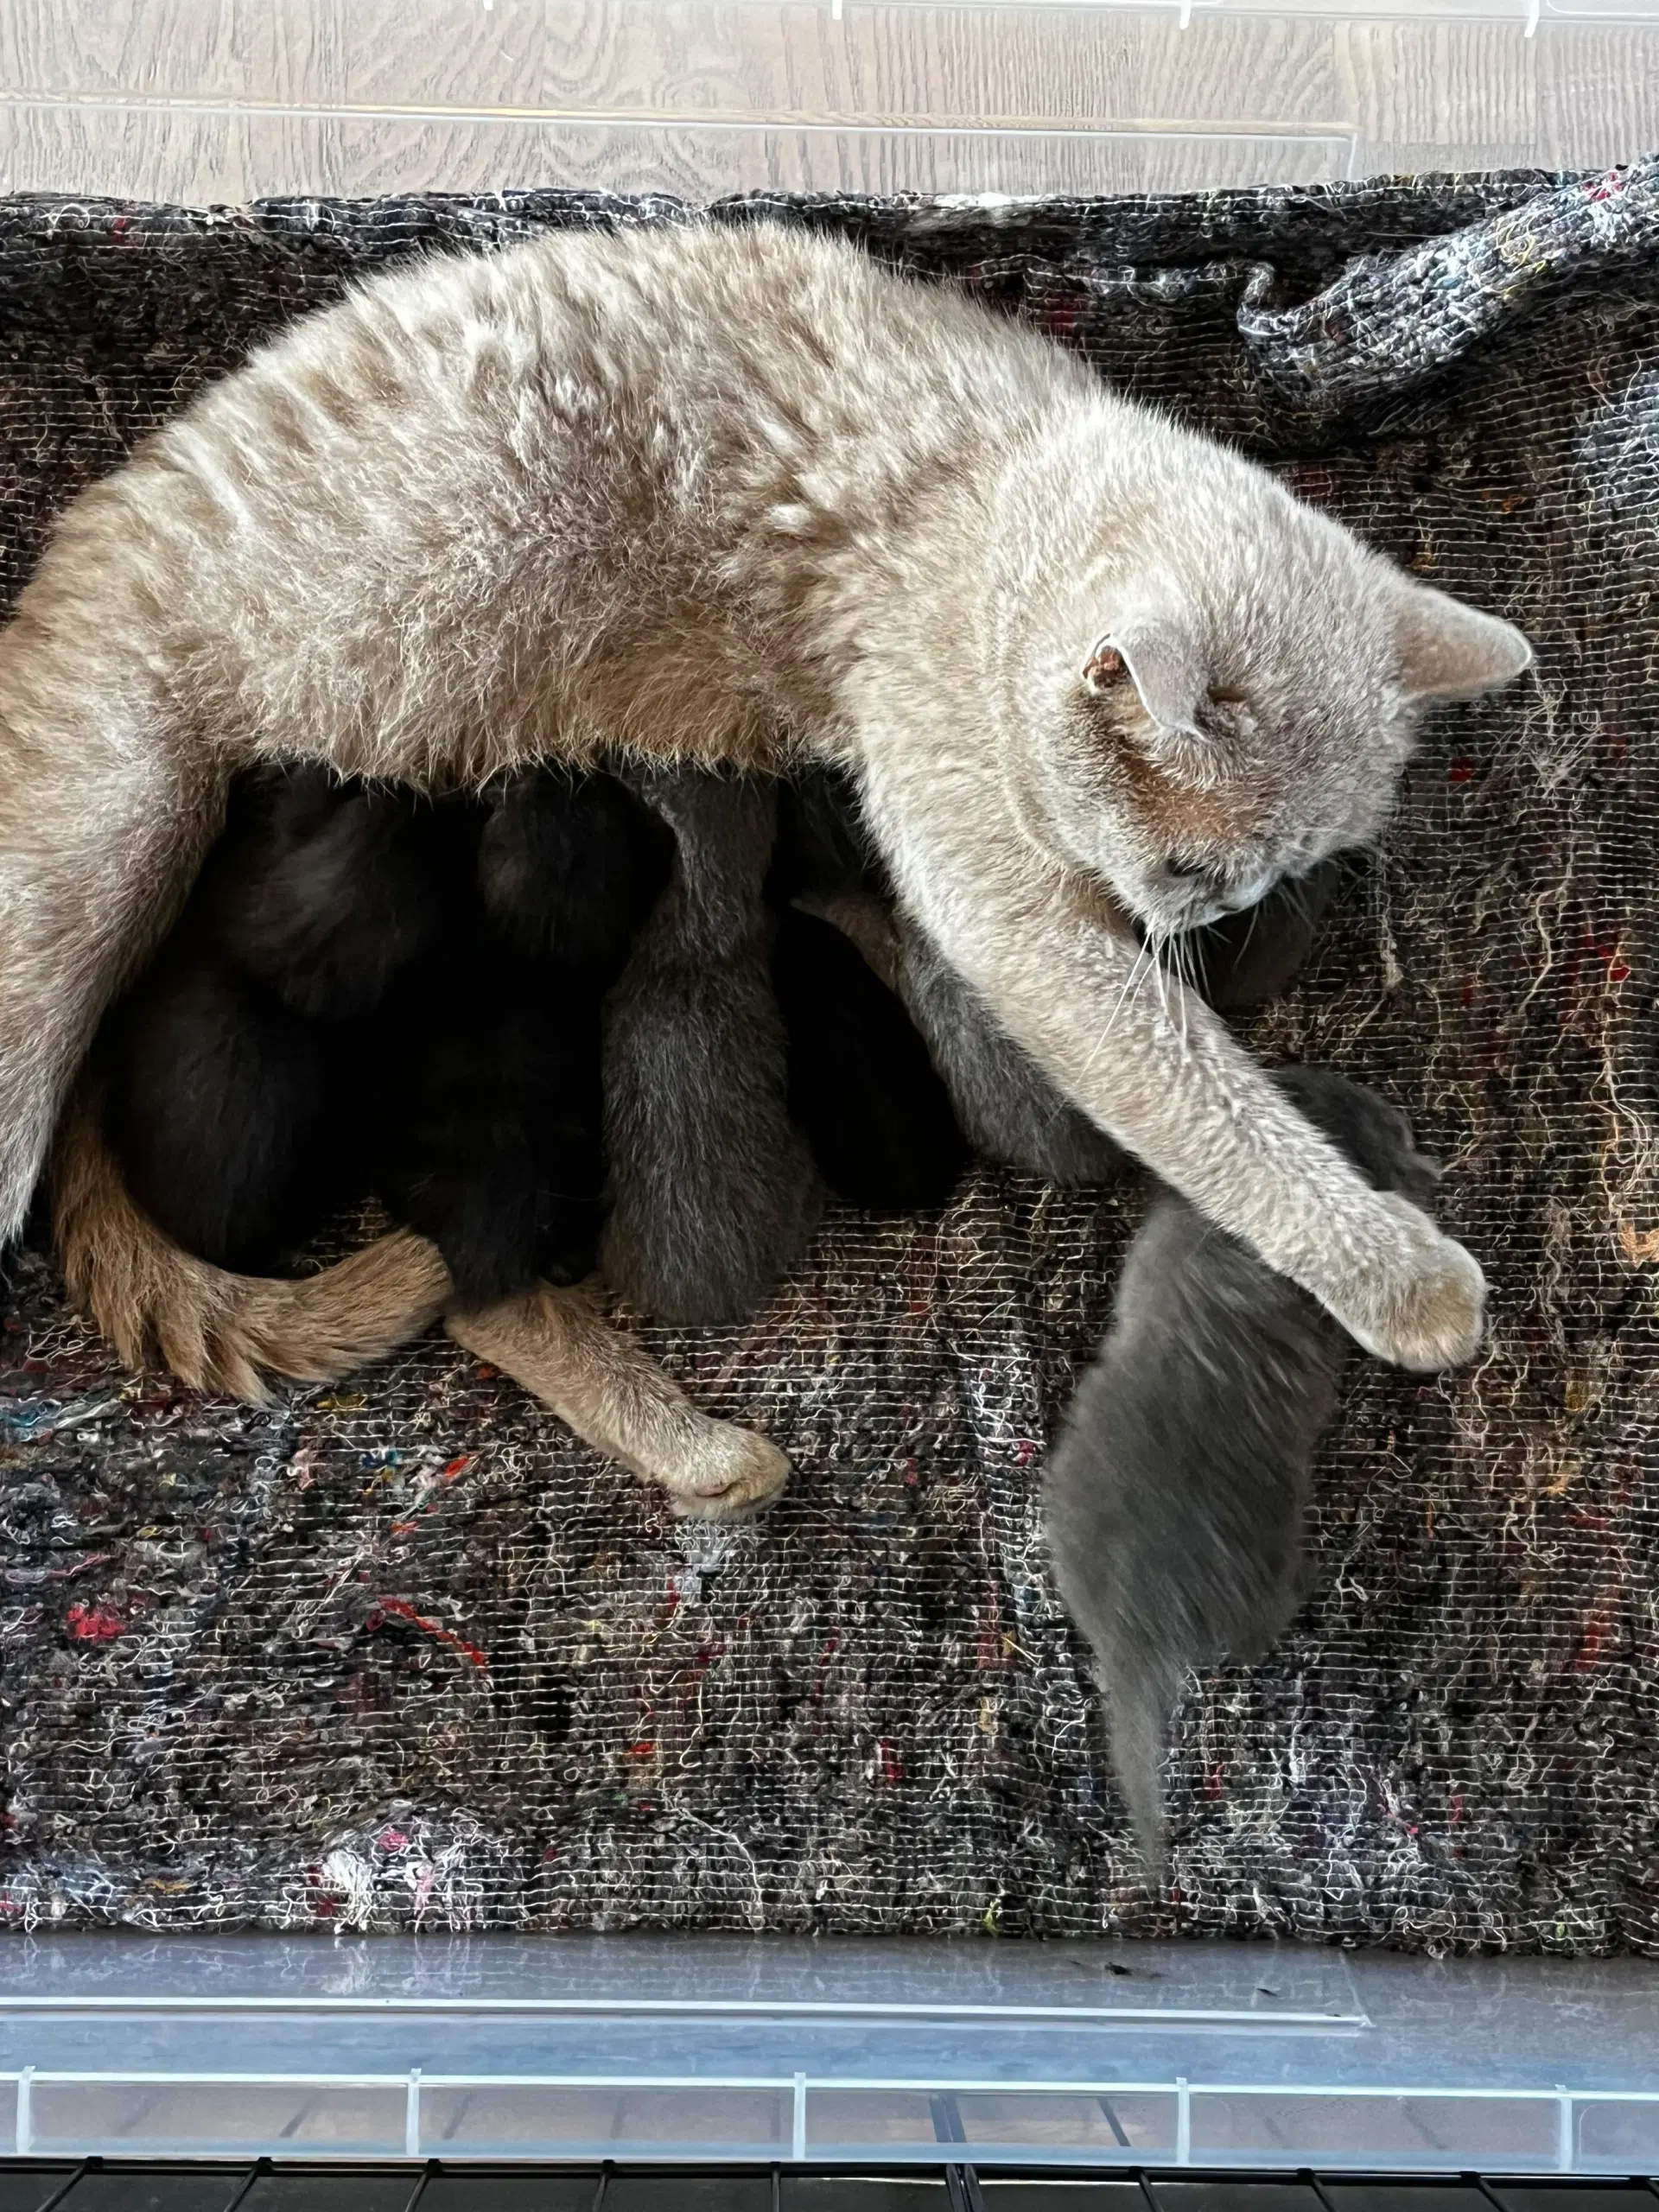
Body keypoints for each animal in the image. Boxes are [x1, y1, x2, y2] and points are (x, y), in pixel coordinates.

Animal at [1044, 1061, 1451, 1858]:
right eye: (1387, 1126)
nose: (1411, 1134)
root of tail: (1128, 1633)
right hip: (1258, 1576)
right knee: (1264, 1628)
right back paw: (1319, 1574)